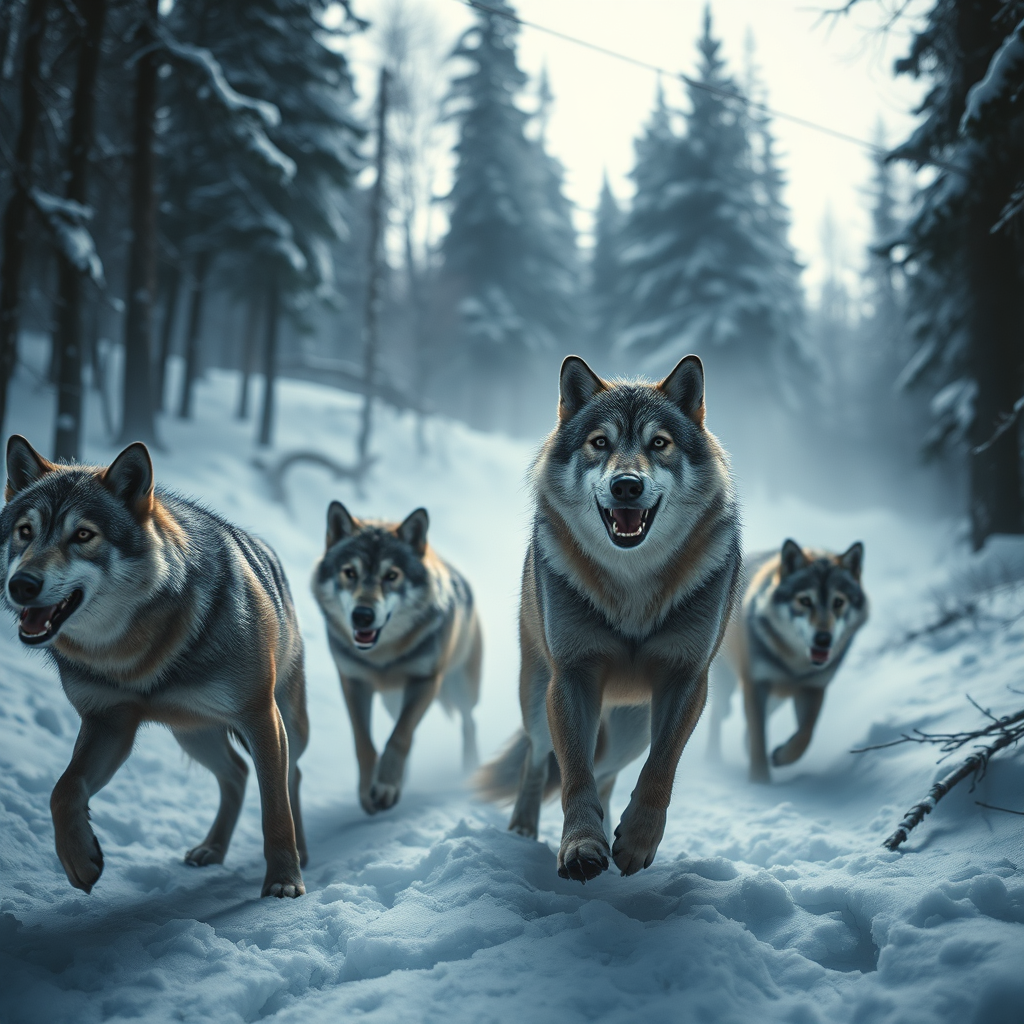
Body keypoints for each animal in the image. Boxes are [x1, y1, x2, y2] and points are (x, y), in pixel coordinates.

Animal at [1, 435, 308, 898]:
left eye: (83, 535)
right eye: (25, 531)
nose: (20, 585)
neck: (135, 656)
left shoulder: (258, 715)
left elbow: (274, 809)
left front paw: (284, 882)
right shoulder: (109, 722)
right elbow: (63, 790)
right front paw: (80, 861)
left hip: (284, 724)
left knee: (291, 778)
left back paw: (301, 852)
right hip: (194, 735)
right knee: (236, 774)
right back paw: (211, 849)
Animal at [312, 502, 481, 814]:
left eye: (391, 575)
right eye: (349, 573)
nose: (362, 616)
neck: (383, 655)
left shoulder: (425, 681)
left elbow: (400, 737)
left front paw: (387, 787)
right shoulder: (353, 683)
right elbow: (364, 743)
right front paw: (370, 790)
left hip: (461, 688)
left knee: (467, 721)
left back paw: (469, 767)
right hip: (393, 701)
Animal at [476, 355, 741, 882]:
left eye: (659, 443)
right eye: (600, 442)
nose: (626, 485)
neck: (632, 583)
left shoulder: (686, 678)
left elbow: (660, 769)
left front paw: (636, 842)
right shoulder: (573, 676)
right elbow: (573, 774)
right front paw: (581, 847)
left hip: (629, 733)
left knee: (610, 772)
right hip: (538, 701)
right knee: (541, 760)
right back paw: (522, 831)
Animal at [706, 539, 869, 782]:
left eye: (838, 602)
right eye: (805, 601)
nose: (823, 639)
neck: (794, 663)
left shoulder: (813, 688)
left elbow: (806, 735)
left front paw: (782, 756)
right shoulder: (756, 684)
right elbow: (759, 736)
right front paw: (759, 781)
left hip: (777, 697)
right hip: (727, 685)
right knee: (717, 715)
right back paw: (712, 760)